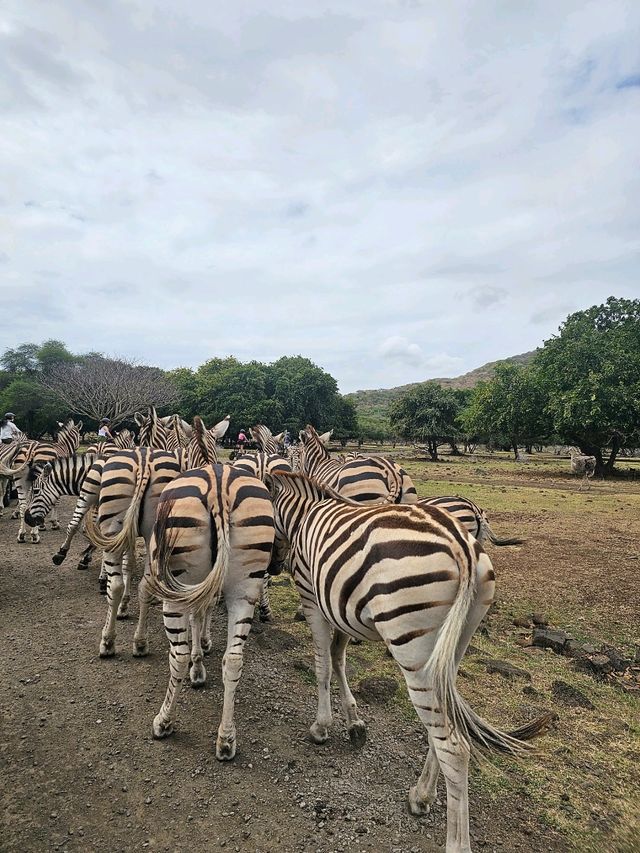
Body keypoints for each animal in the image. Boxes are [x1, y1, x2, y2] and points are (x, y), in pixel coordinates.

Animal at [145, 462, 284, 756]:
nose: (278, 566)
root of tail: (219, 490)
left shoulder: (188, 588)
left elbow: (194, 625)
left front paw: (197, 665)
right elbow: (201, 615)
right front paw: (201, 659)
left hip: (173, 591)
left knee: (178, 656)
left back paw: (164, 721)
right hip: (245, 588)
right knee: (234, 660)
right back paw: (227, 738)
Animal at [268, 472, 552, 852]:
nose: (273, 566)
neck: (302, 516)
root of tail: (462, 546)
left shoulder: (313, 599)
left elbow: (323, 665)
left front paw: (322, 726)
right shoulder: (340, 608)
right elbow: (338, 657)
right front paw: (354, 722)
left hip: (411, 646)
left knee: (455, 748)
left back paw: (454, 840)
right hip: (449, 649)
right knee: (446, 726)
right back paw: (421, 795)